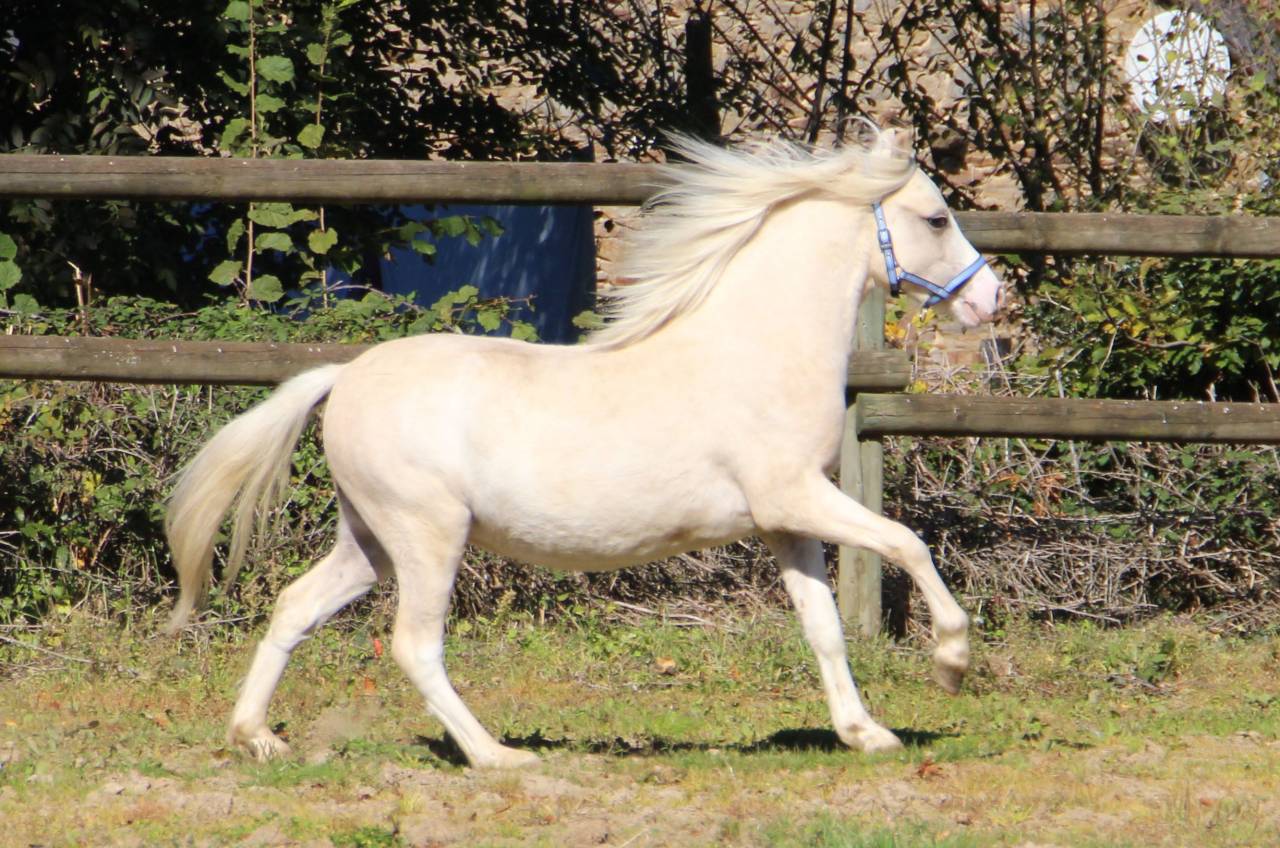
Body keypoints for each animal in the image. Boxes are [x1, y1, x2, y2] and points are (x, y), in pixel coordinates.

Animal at [165, 128, 1003, 768]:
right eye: (936, 218)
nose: (990, 299)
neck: (754, 347)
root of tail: (345, 378)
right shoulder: (797, 495)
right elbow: (907, 543)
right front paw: (953, 665)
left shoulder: (784, 522)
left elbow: (823, 626)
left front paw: (866, 733)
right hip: (428, 535)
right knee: (414, 645)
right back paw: (497, 756)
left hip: (370, 539)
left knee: (296, 606)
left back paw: (258, 738)